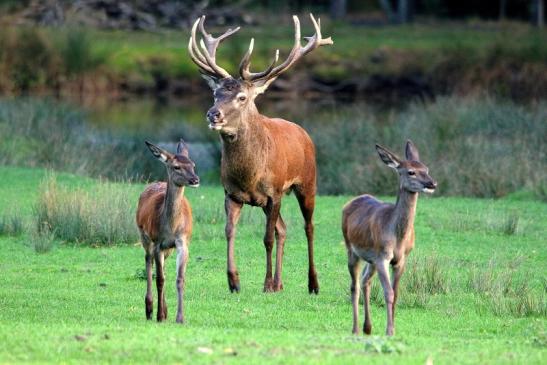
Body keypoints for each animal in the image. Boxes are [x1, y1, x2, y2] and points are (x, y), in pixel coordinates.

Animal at [136, 139, 200, 322]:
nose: (195, 179)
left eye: (193, 164)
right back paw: (150, 309)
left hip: (168, 249)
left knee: (162, 269)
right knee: (149, 262)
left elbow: (179, 279)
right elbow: (160, 280)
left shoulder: (182, 242)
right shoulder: (158, 242)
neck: (171, 227)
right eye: (176, 166)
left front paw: (180, 318)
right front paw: (158, 316)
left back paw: (164, 311)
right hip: (144, 237)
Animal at [188, 14, 334, 292]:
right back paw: (280, 283)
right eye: (215, 93)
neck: (249, 175)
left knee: (308, 227)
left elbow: (267, 238)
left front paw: (265, 284)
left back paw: (312, 283)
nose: (213, 114)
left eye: (242, 97)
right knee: (283, 229)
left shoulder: (274, 192)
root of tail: (303, 132)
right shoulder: (231, 193)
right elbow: (229, 231)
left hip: (307, 183)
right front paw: (234, 281)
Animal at [342, 140, 436, 336]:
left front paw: (392, 328)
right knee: (354, 286)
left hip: (370, 259)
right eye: (411, 172)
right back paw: (355, 328)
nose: (432, 183)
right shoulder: (382, 256)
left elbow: (396, 292)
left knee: (365, 281)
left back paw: (368, 327)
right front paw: (389, 330)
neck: (397, 237)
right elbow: (389, 293)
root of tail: (349, 203)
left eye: (426, 168)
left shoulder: (401, 259)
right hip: (352, 249)